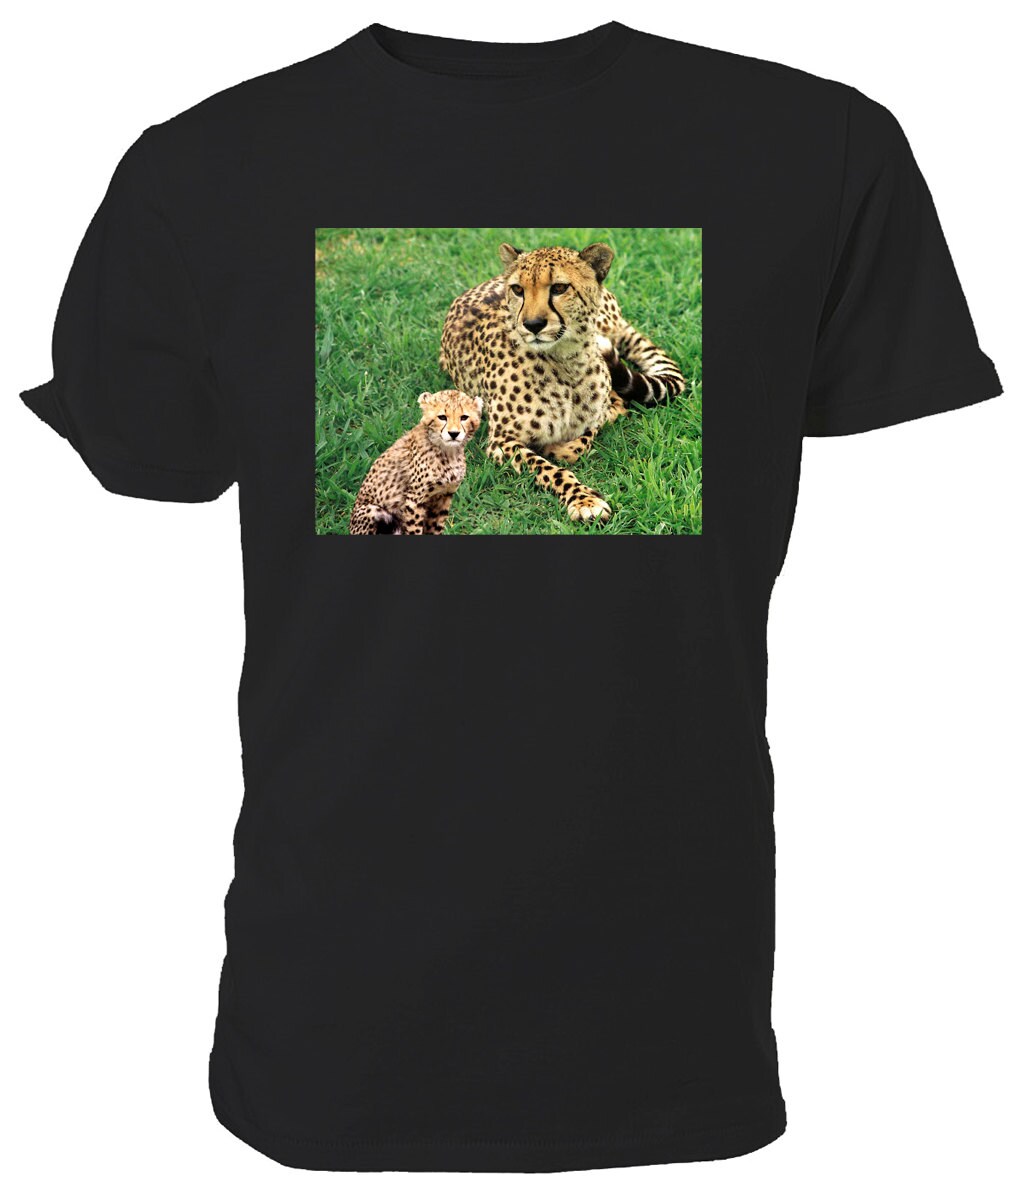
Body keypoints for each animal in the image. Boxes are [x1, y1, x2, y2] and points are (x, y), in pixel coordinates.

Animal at [349, 390, 483, 535]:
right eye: (442, 417)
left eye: (464, 417)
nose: (454, 433)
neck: (448, 451)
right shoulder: (415, 500)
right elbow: (414, 529)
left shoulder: (444, 496)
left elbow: (435, 528)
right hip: (371, 510)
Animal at [439, 241, 685, 522]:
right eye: (517, 289)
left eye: (559, 288)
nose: (533, 324)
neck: (565, 364)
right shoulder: (501, 440)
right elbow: (549, 469)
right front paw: (584, 500)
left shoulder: (593, 413)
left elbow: (582, 438)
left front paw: (562, 448)